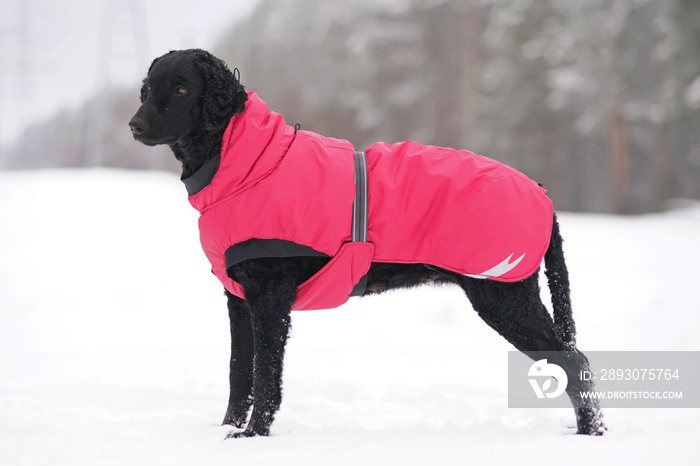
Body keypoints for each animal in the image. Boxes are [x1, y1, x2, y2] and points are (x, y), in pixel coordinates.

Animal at [129, 49, 604, 438]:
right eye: (148, 89)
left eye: (182, 88)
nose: (134, 125)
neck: (246, 161)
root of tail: (542, 193)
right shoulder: (239, 299)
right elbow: (238, 375)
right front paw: (226, 431)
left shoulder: (269, 300)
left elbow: (265, 378)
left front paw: (253, 436)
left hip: (505, 298)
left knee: (575, 361)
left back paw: (590, 433)